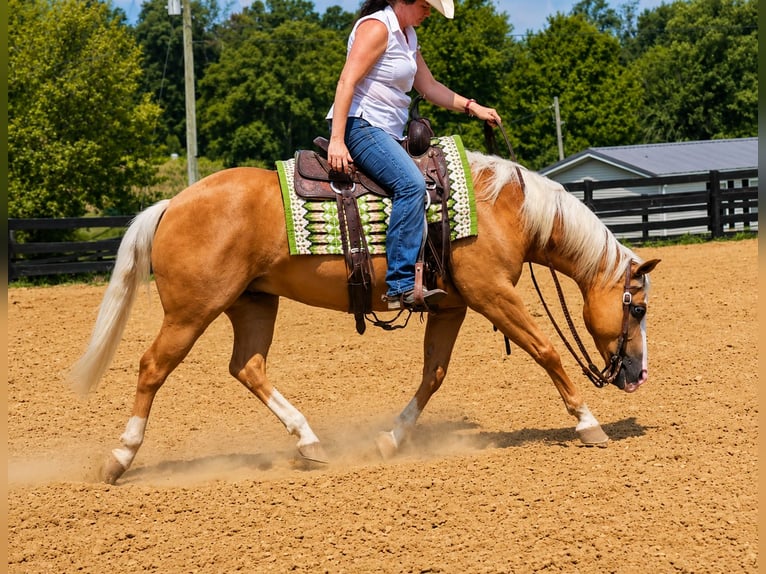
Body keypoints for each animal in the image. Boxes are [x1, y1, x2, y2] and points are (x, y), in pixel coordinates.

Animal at [69, 150, 660, 485]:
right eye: (638, 306)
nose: (637, 376)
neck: (501, 209)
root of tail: (172, 203)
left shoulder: (452, 305)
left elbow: (433, 374)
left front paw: (390, 440)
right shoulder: (493, 295)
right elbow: (546, 351)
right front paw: (588, 425)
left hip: (253, 303)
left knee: (248, 367)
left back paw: (309, 442)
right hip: (192, 310)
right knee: (153, 367)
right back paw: (119, 459)